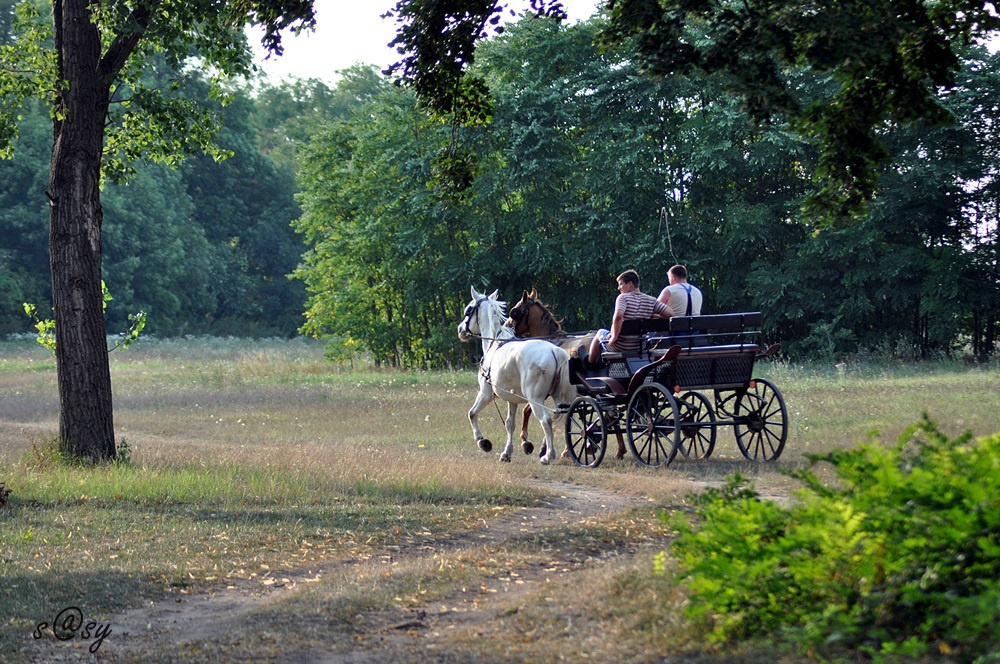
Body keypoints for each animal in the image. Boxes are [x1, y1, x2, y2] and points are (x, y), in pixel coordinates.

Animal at [456, 288, 576, 464]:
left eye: (468, 310)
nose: (460, 330)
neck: (495, 343)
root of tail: (555, 351)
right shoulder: (511, 399)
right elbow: (509, 423)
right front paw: (507, 452)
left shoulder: (485, 393)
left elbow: (472, 413)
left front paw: (482, 441)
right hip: (559, 398)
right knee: (566, 418)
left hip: (535, 399)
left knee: (545, 420)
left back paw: (548, 455)